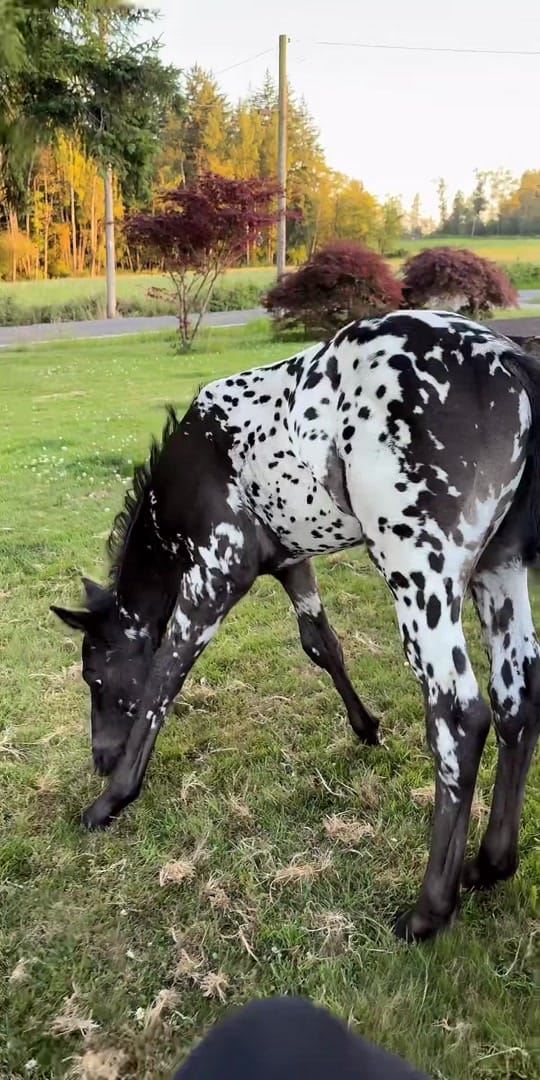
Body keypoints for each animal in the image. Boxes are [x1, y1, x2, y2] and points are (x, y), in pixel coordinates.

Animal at [52, 309, 540, 942]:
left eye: (94, 677)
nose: (101, 759)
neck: (187, 470)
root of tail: (509, 359)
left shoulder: (218, 571)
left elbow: (165, 674)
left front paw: (110, 802)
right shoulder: (290, 563)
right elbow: (321, 644)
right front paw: (367, 728)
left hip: (417, 569)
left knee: (460, 715)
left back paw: (429, 911)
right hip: (497, 568)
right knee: (516, 700)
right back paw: (491, 865)